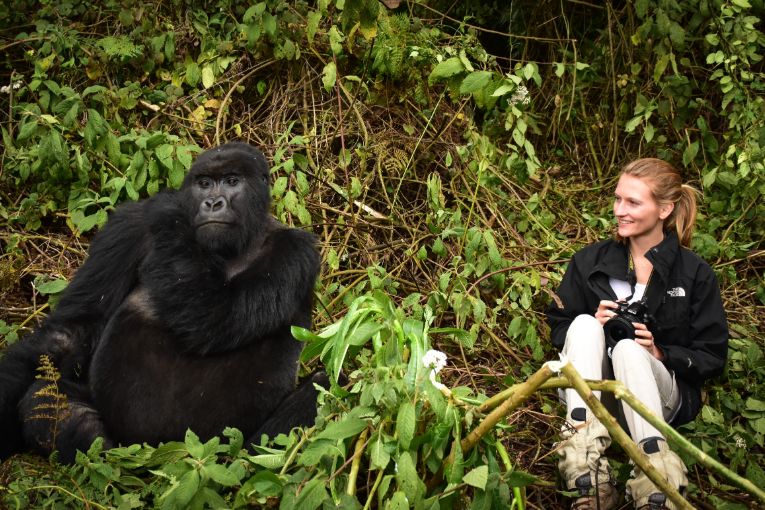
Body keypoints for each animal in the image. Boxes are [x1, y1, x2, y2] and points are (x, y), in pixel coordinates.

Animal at [0, 140, 322, 462]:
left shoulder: (297, 249)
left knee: (322, 389)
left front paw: (170, 212)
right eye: (205, 184)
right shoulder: (130, 225)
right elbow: (72, 330)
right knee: (45, 398)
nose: (212, 203)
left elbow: (219, 317)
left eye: (232, 181)